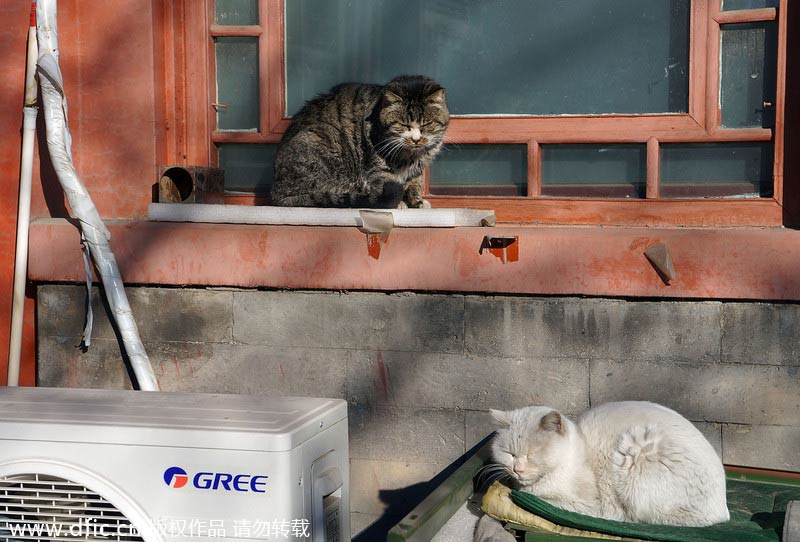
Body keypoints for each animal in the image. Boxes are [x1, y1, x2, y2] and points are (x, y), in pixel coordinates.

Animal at [272, 73, 450, 207]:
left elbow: (415, 183)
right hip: (319, 139)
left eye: (426, 124)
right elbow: (385, 181)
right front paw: (397, 203)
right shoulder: (379, 161)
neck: (411, 155)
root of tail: (276, 191)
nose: (416, 139)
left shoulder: (418, 167)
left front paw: (416, 202)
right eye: (403, 125)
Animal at [478, 400, 728, 540]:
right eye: (510, 454)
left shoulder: (586, 501)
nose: (517, 470)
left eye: (531, 454)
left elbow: (532, 495)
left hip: (635, 449)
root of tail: (723, 511)